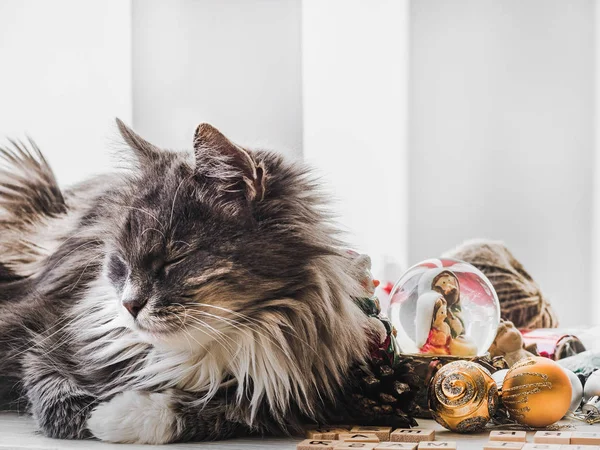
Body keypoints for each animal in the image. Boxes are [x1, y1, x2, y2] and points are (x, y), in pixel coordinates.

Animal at [0, 121, 378, 444]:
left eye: (174, 259)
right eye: (120, 262)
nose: (129, 305)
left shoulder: (286, 392)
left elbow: (216, 412)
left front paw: (115, 415)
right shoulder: (43, 338)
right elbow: (57, 398)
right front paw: (94, 414)